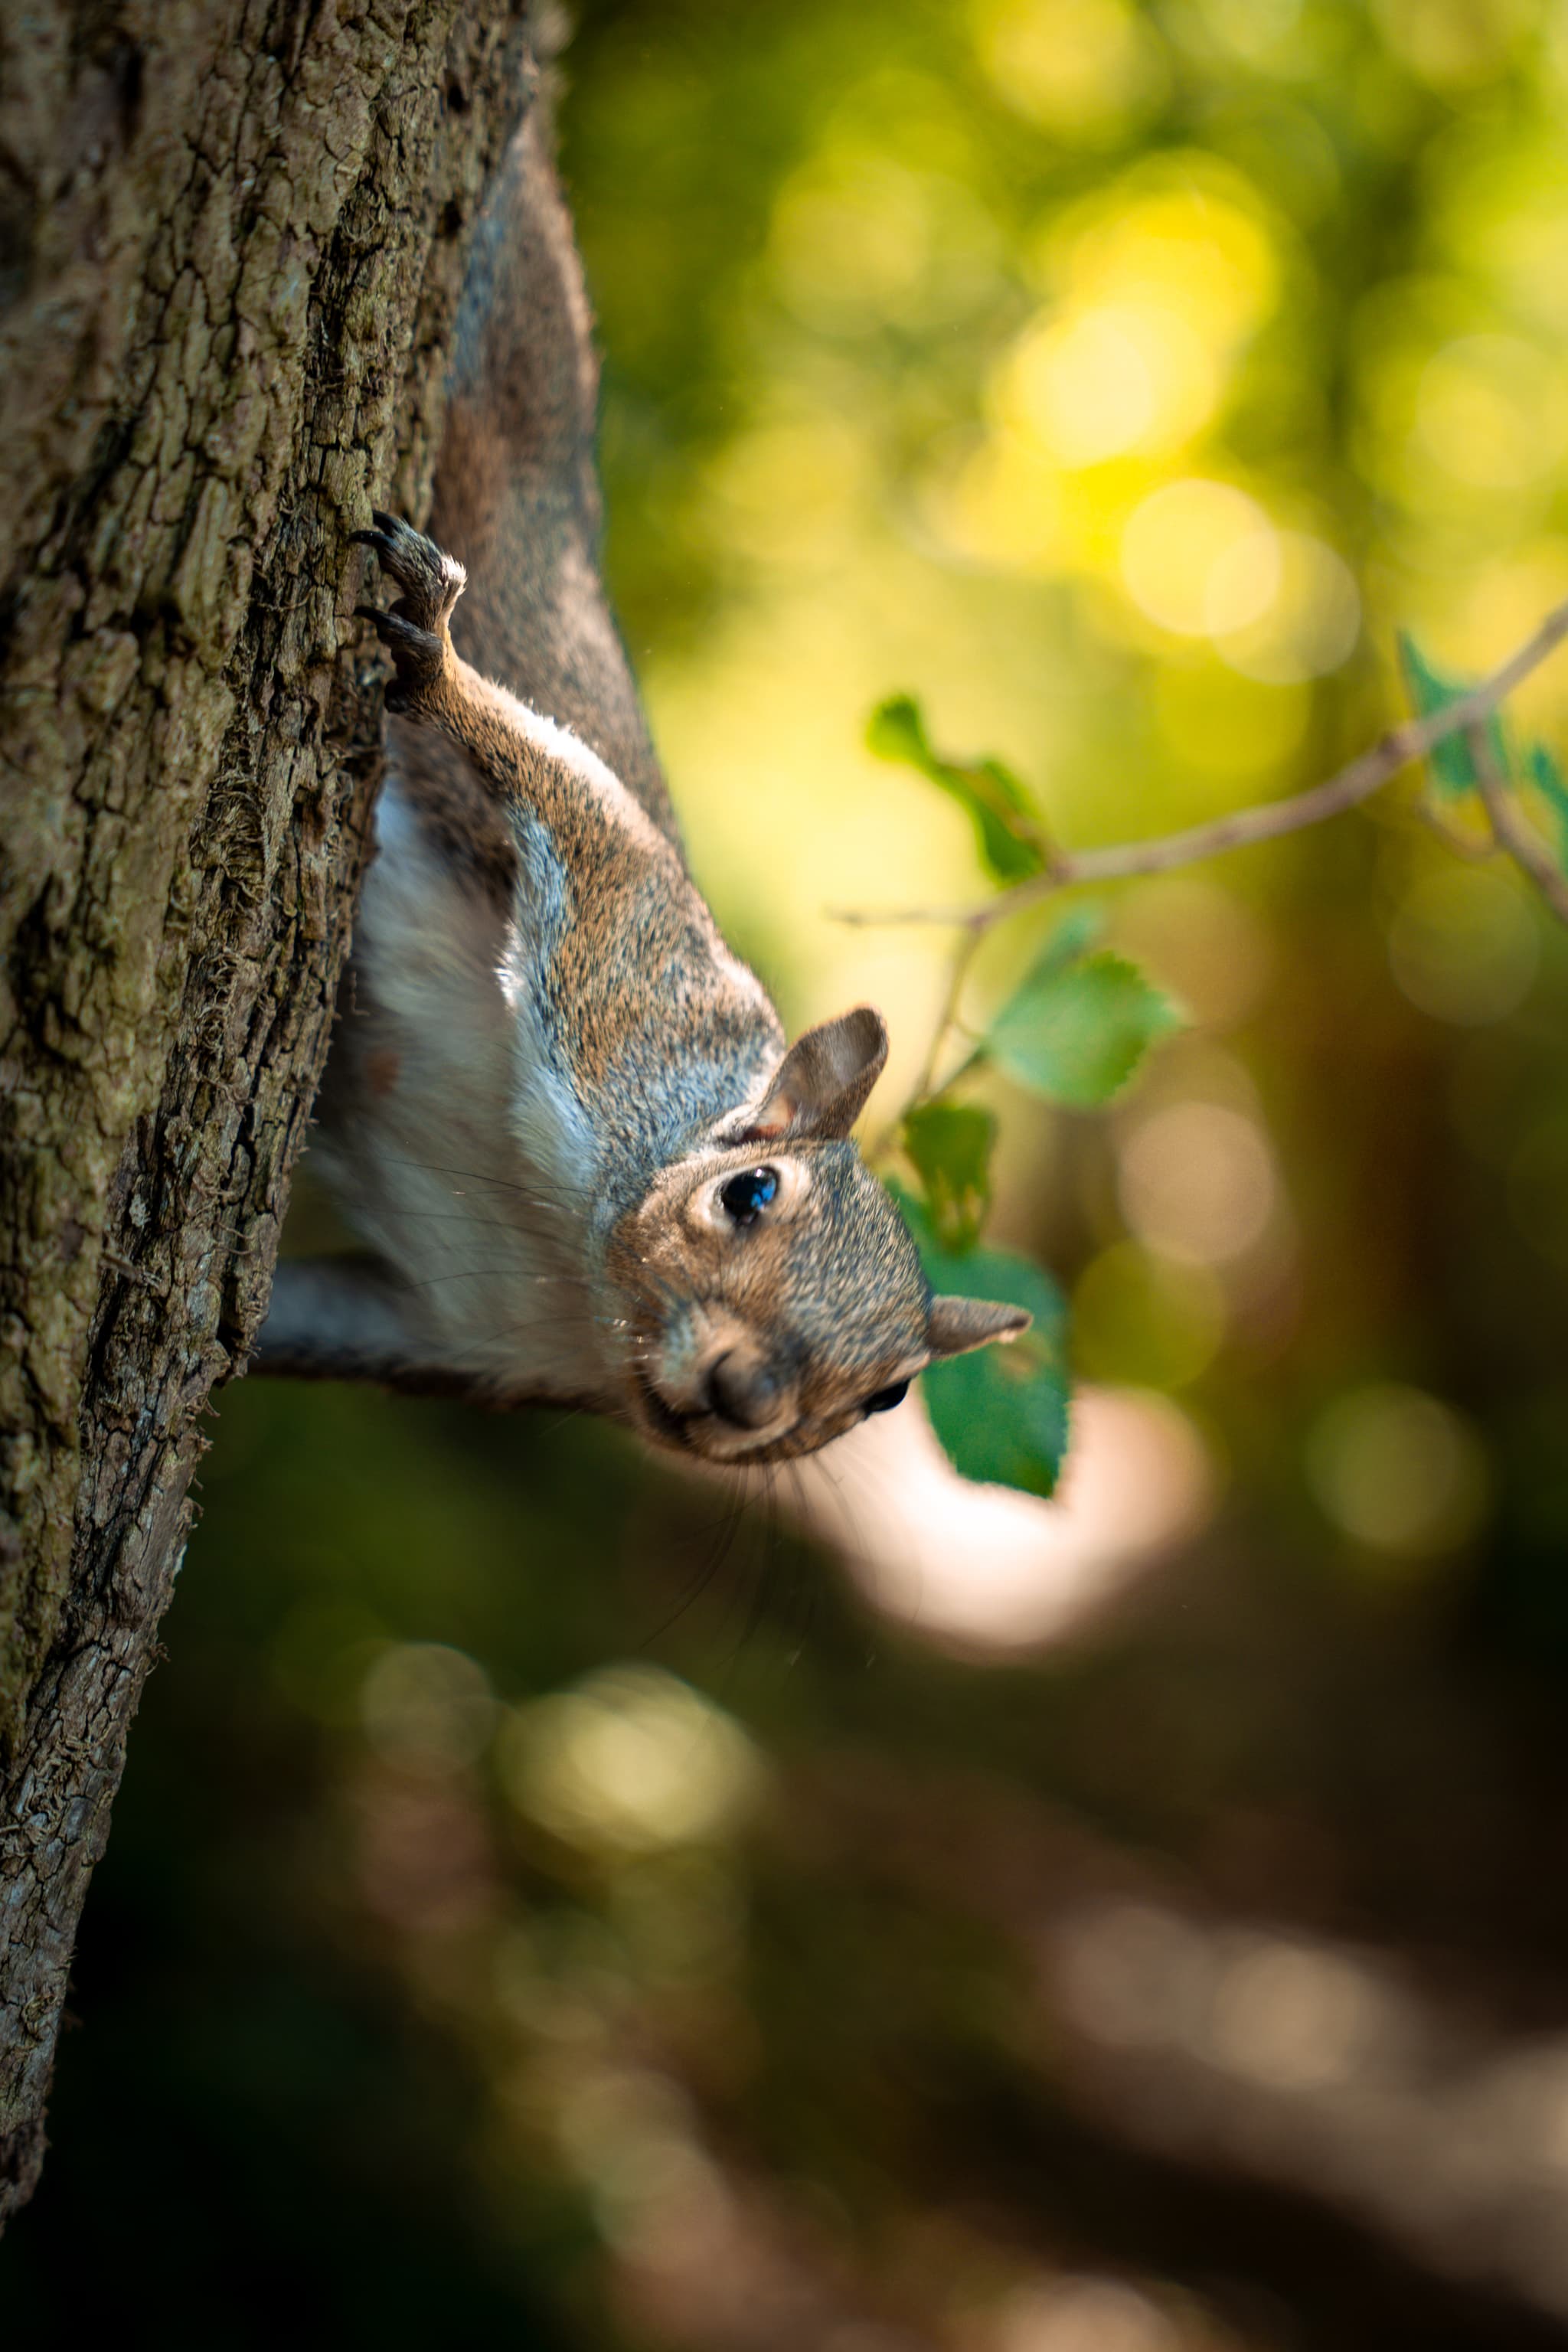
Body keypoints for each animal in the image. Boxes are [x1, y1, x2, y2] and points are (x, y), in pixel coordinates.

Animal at [254, 100, 1026, 1466]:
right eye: (750, 1190)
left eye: (889, 1395)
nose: (747, 1397)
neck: (579, 1264)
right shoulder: (626, 977)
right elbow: (575, 801)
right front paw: (440, 664)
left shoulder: (448, 1329)